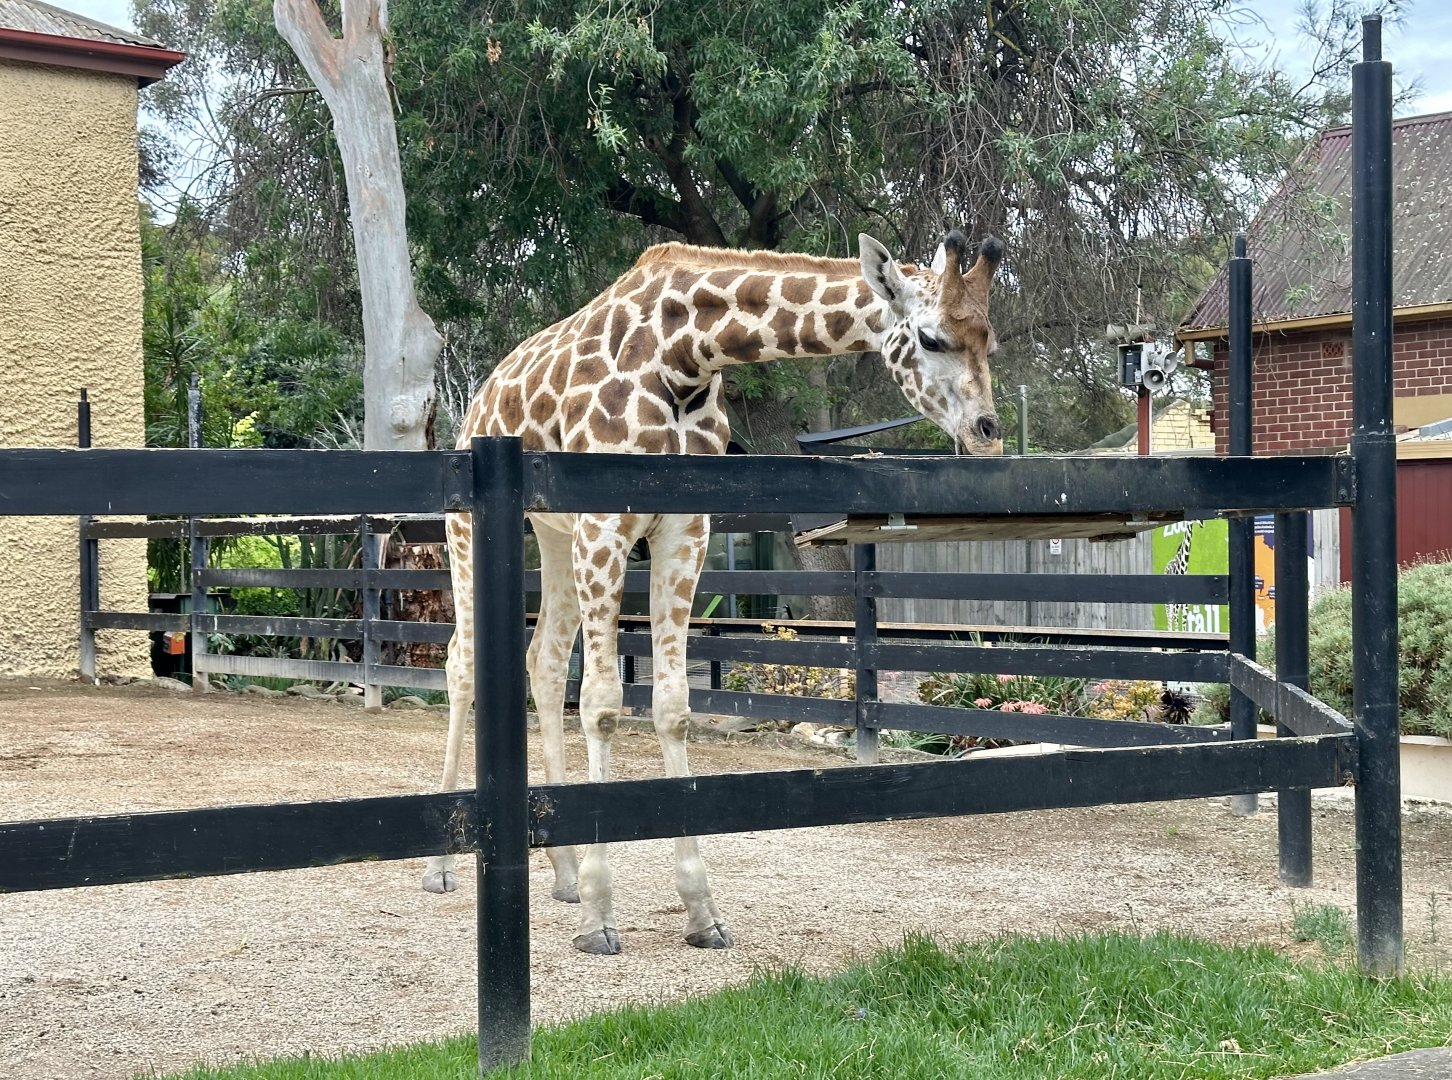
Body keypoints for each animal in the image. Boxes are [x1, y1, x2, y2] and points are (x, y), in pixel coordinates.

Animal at [423, 230, 1005, 955]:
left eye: (989, 339)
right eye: (930, 337)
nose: (987, 434)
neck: (684, 356)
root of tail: (477, 400)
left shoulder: (684, 527)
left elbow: (672, 704)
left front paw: (699, 910)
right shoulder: (605, 521)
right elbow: (605, 705)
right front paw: (600, 917)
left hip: (553, 534)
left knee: (544, 661)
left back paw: (561, 873)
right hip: (469, 529)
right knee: (462, 662)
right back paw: (443, 867)